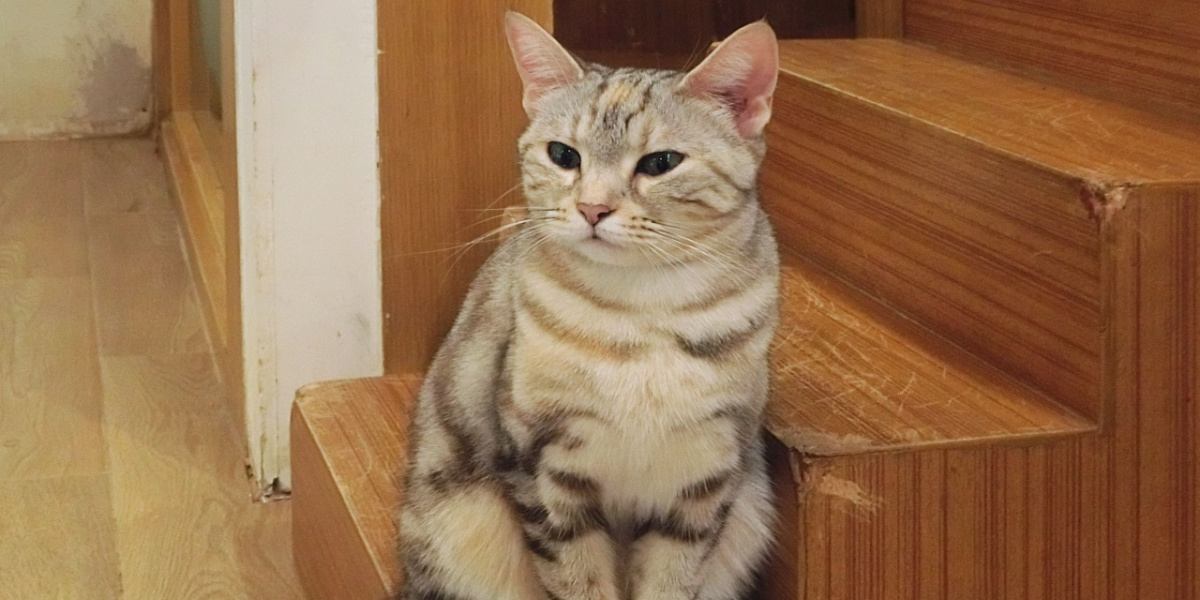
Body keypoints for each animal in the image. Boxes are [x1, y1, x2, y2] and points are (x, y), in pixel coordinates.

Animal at [398, 12, 782, 600]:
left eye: (661, 162)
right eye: (563, 154)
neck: (643, 311)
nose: (592, 208)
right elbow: (578, 576)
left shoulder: (706, 474)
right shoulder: (543, 465)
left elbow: (671, 579)